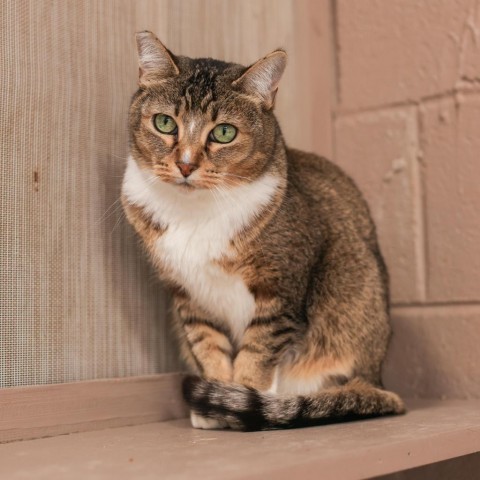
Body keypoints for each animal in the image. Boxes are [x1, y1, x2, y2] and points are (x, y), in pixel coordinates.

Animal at [123, 31, 404, 434]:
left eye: (224, 132)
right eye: (164, 123)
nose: (186, 165)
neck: (195, 213)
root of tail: (378, 380)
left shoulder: (280, 289)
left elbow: (258, 349)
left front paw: (242, 398)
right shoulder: (189, 297)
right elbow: (208, 346)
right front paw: (217, 400)